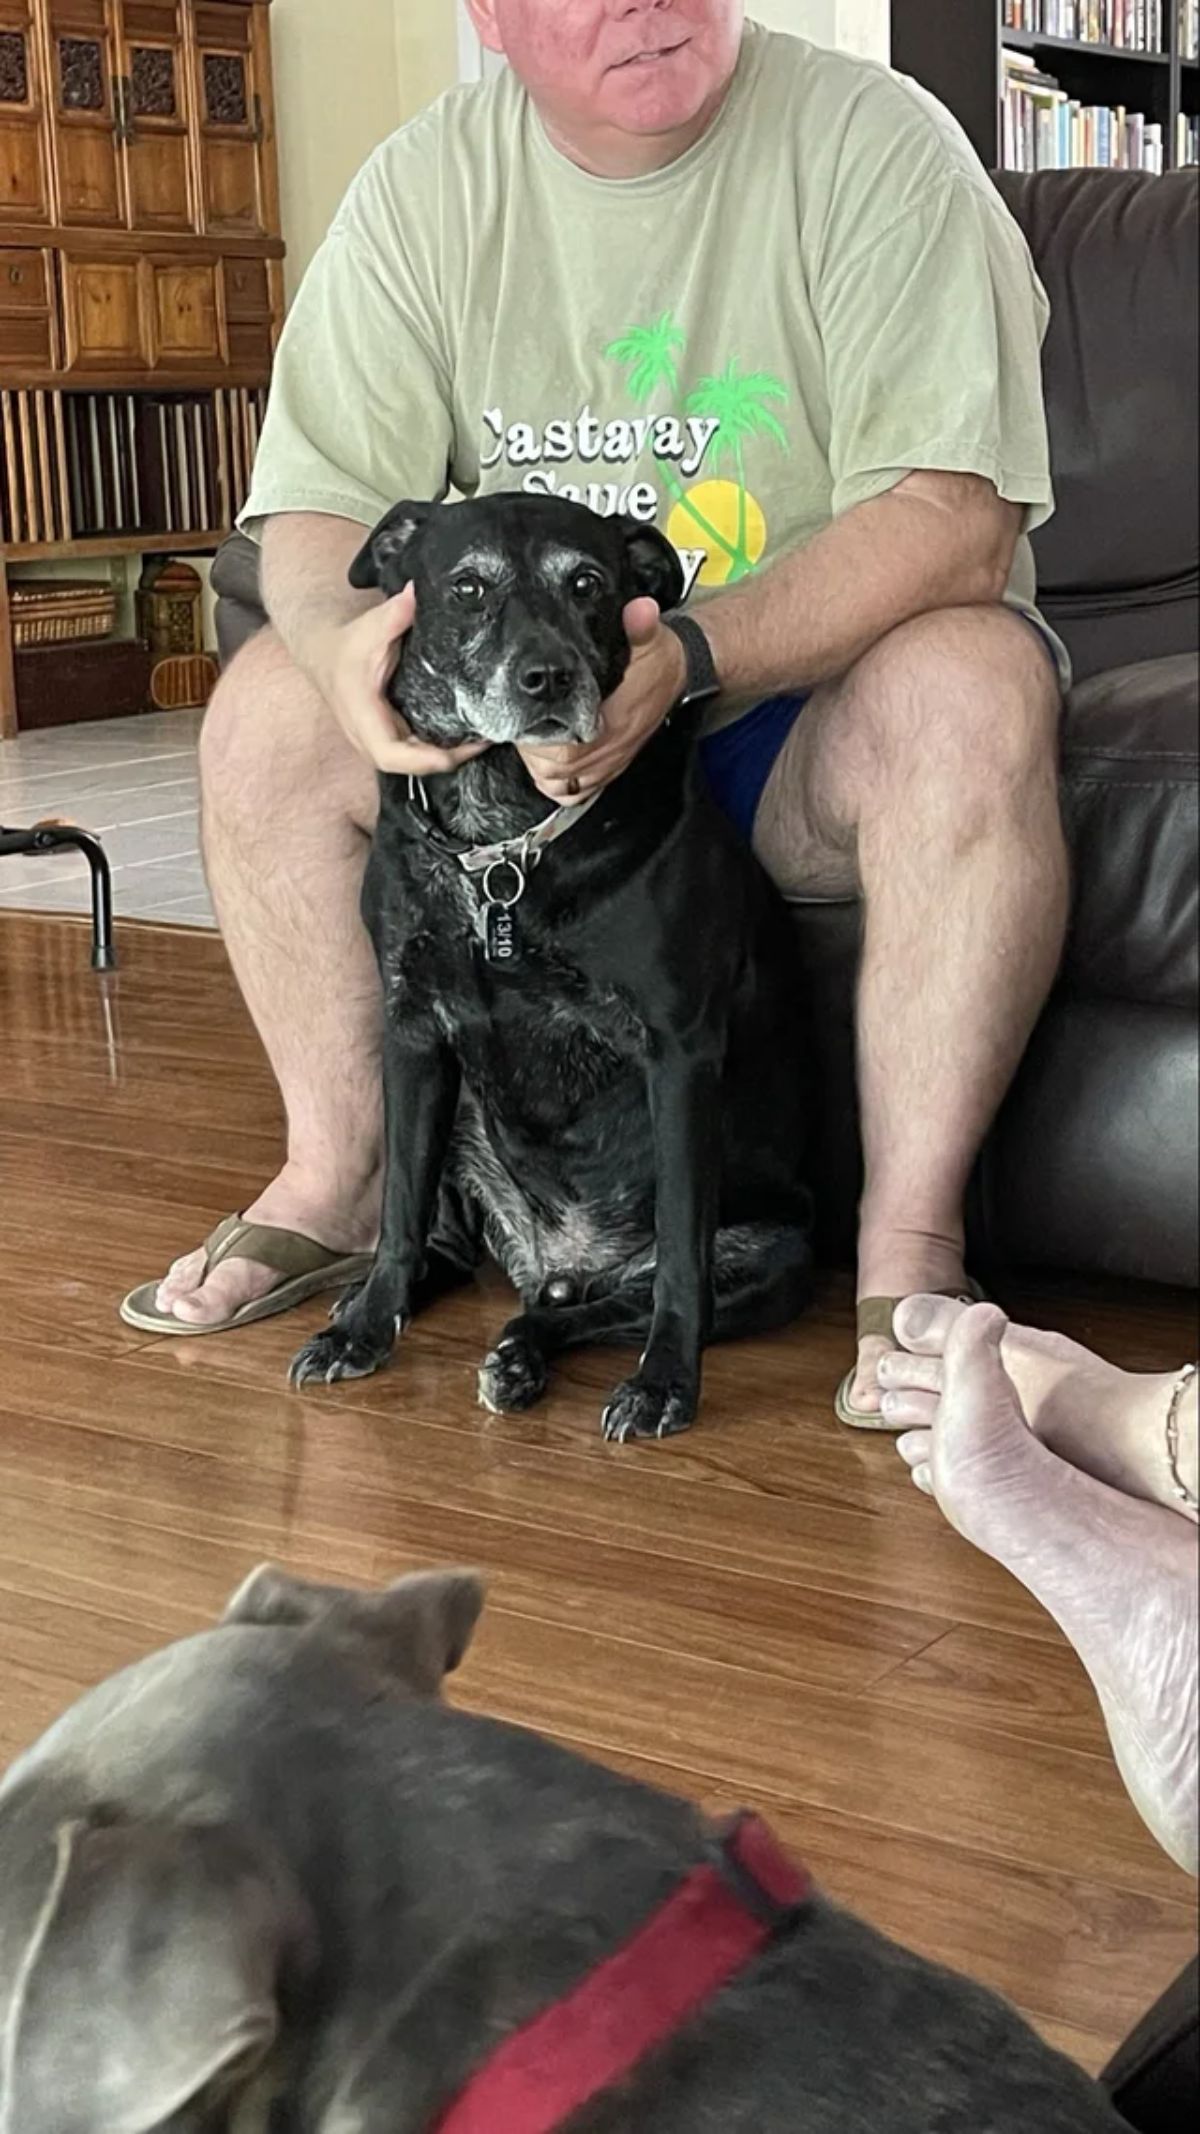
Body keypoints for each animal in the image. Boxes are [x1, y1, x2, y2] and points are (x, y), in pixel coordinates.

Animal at [290, 490, 811, 1442]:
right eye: (467, 587)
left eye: (589, 584)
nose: (548, 678)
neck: (503, 832)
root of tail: (559, 1266)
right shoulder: (412, 1033)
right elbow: (396, 1215)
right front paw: (363, 1328)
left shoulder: (680, 1053)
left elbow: (681, 1259)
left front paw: (665, 1385)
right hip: (456, 1120)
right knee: (444, 1250)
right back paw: (383, 1305)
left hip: (774, 1254)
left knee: (599, 1309)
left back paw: (525, 1351)